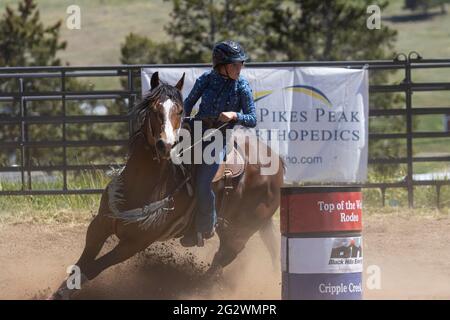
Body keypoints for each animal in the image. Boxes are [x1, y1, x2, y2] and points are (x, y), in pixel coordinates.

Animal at [51, 71, 284, 298]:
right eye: (154, 109)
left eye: (179, 111)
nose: (166, 145)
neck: (140, 185)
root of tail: (277, 161)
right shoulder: (100, 224)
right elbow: (82, 263)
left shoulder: (135, 242)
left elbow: (94, 267)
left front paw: (63, 292)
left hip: (243, 230)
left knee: (224, 256)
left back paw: (196, 289)